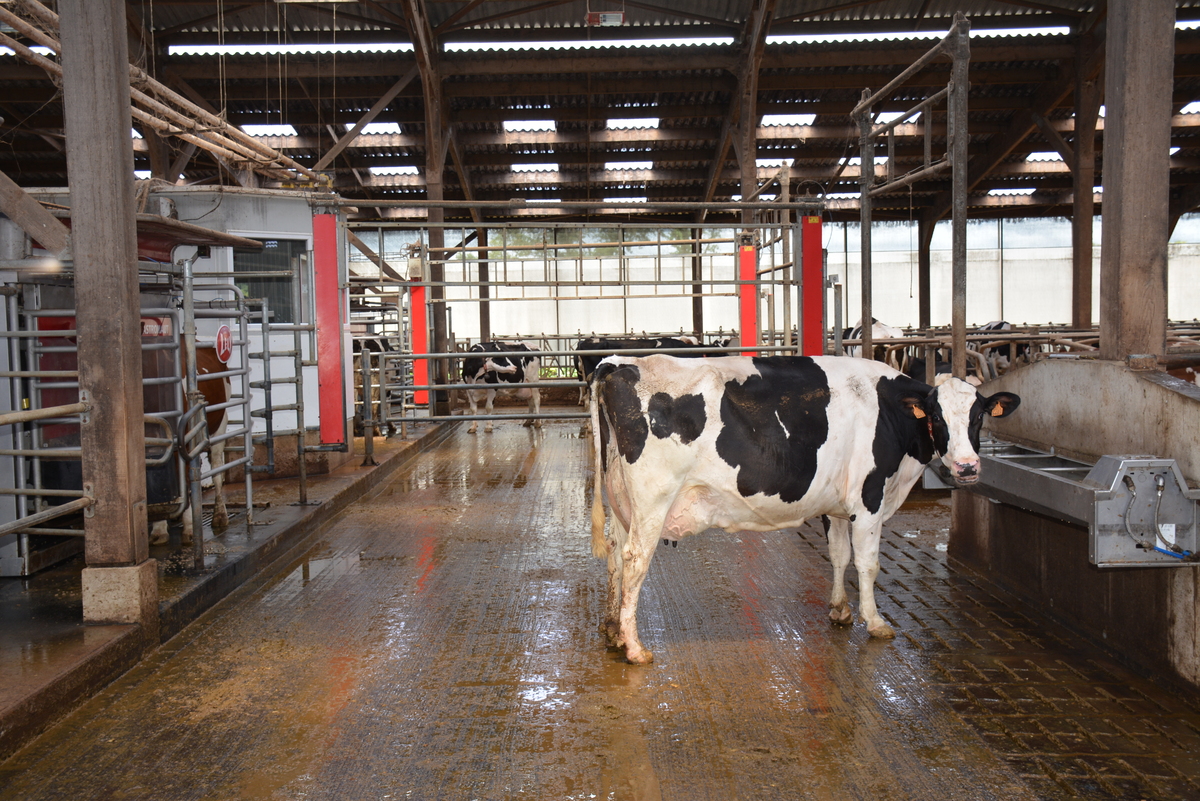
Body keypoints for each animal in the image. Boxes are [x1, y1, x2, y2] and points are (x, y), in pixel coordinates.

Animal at [585, 354, 1017, 661]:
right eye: (938, 418)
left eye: (977, 418)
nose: (967, 467)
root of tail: (619, 364)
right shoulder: (869, 498)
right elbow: (868, 563)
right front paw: (875, 621)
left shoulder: (838, 504)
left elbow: (839, 554)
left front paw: (840, 610)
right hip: (652, 500)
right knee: (635, 560)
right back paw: (635, 648)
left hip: (622, 500)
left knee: (616, 555)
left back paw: (612, 631)